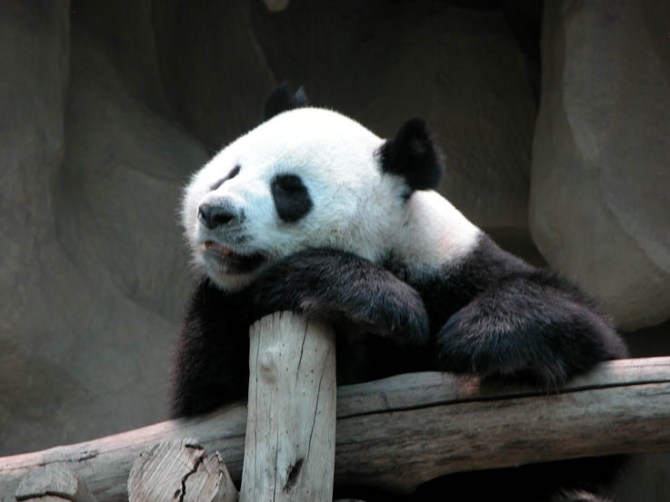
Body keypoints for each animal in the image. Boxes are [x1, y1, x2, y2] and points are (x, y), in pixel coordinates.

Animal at [172, 85, 628, 501]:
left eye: (289, 189)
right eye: (229, 173)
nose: (216, 213)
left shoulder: (453, 266)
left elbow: (580, 435)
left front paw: (483, 337)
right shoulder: (224, 309)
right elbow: (205, 406)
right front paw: (375, 301)